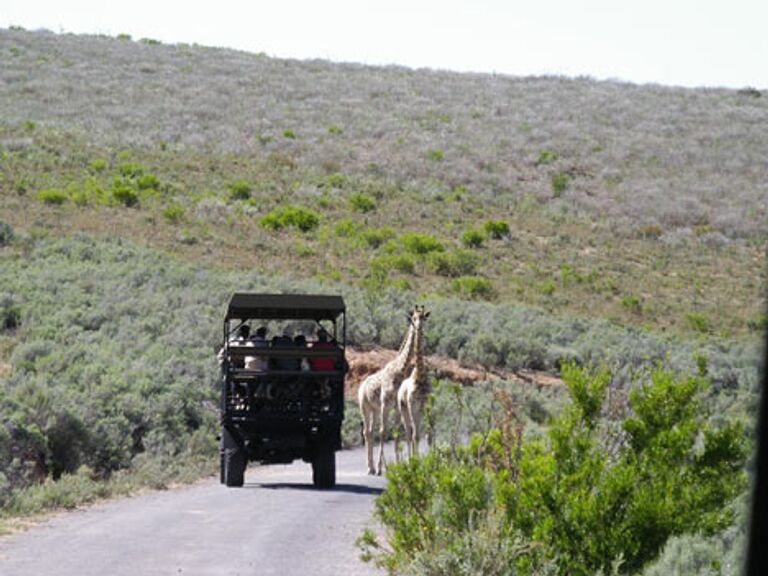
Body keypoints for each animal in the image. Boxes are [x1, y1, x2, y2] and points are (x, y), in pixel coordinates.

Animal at [358, 308, 428, 474]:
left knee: (370, 432)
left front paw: (396, 465)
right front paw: (379, 468)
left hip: (375, 410)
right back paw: (370, 467)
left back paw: (371, 466)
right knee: (367, 432)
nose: (419, 328)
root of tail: (361, 386)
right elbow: (383, 431)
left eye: (424, 317)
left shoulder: (395, 407)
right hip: (364, 407)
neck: (400, 371)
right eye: (413, 318)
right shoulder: (385, 404)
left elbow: (395, 434)